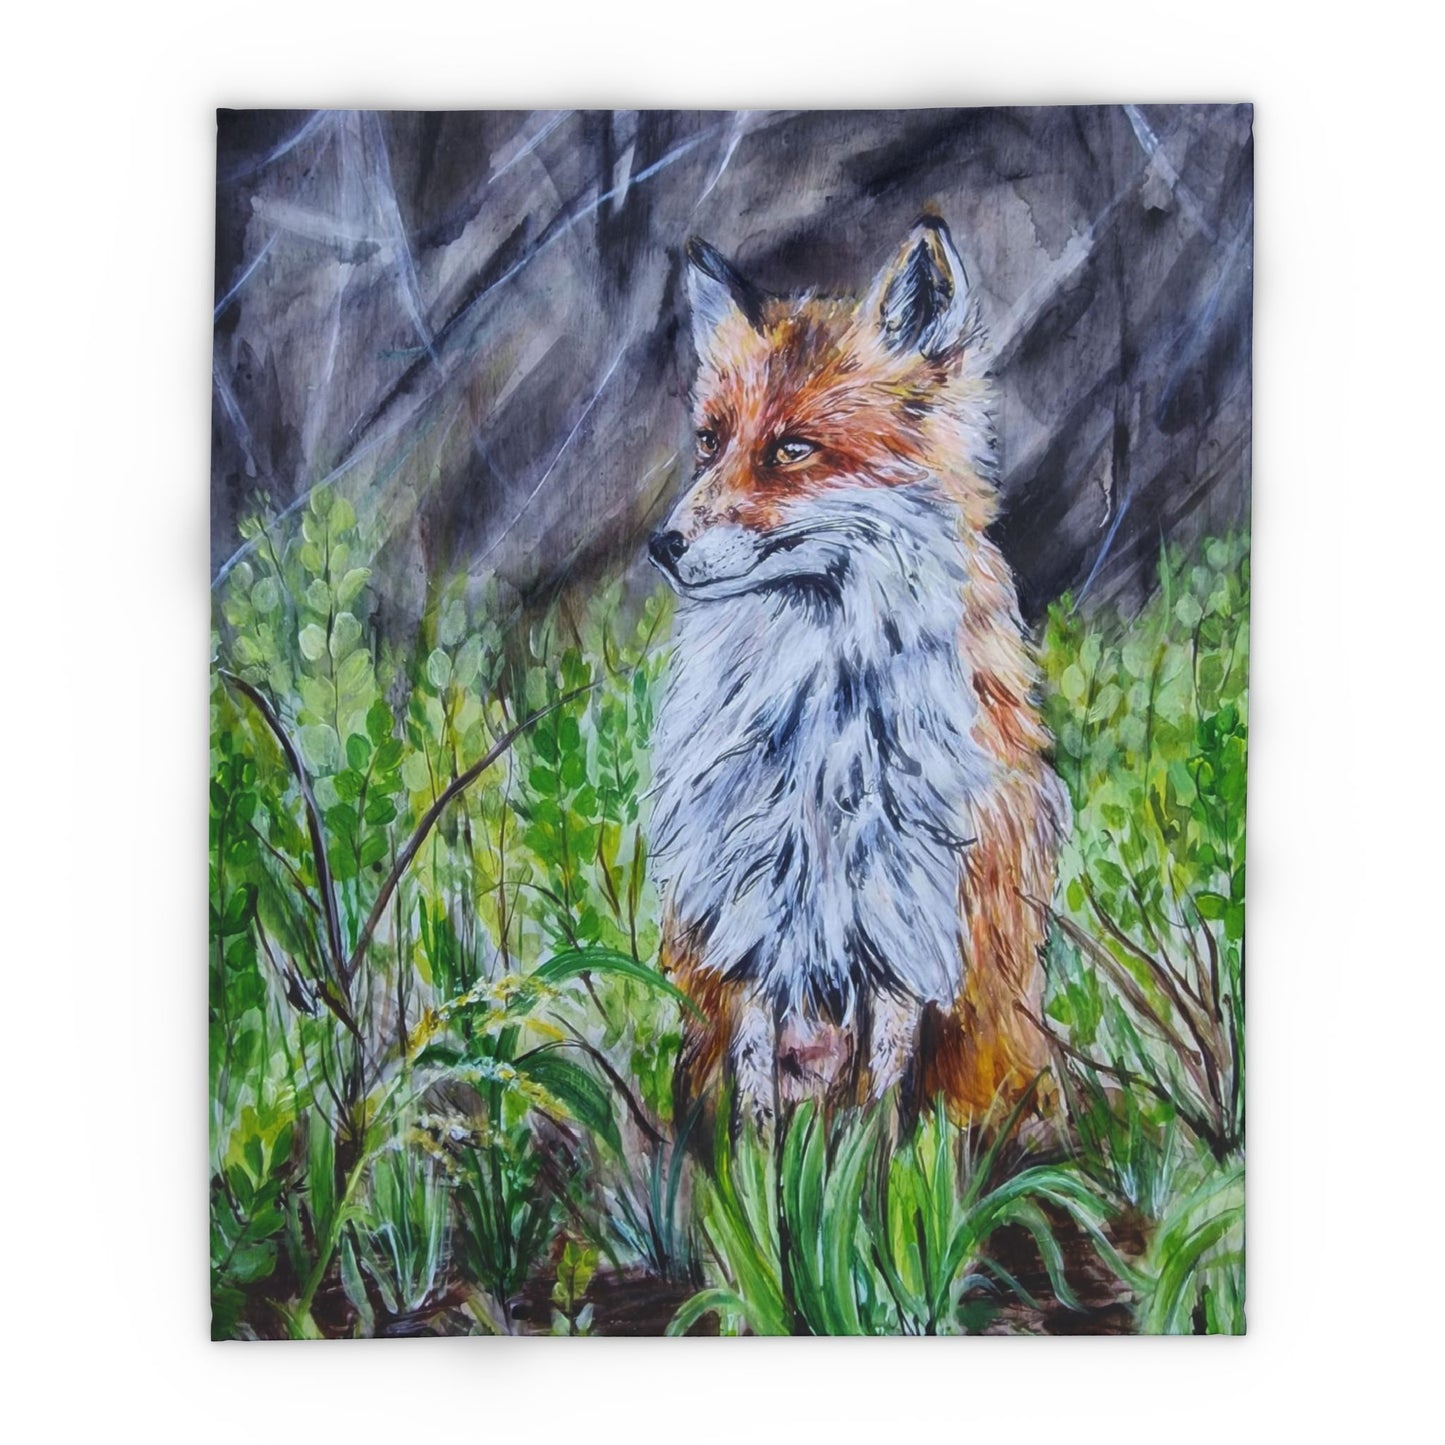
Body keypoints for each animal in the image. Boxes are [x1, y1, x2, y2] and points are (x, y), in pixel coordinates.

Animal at [646, 218, 1070, 1142]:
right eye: (709, 440)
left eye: (792, 449)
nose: (662, 544)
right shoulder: (748, 926)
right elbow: (756, 1112)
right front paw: (761, 1178)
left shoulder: (907, 925)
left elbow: (877, 1118)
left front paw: (866, 1176)